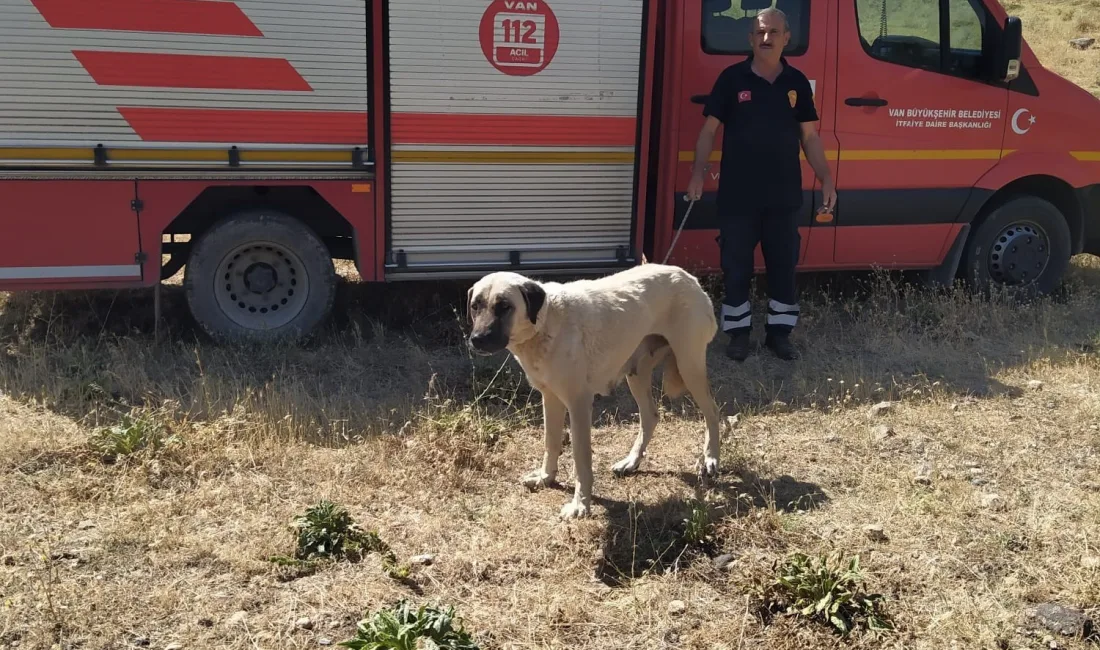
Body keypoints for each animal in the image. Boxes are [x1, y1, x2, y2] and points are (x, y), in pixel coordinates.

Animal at [464, 261, 721, 521]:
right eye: (475, 306)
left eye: (504, 307)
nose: (477, 339)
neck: (545, 323)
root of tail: (688, 277)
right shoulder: (551, 398)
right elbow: (550, 442)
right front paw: (546, 477)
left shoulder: (578, 404)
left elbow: (581, 459)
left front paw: (580, 505)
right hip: (637, 373)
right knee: (650, 416)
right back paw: (631, 462)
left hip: (689, 366)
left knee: (713, 411)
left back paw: (711, 458)